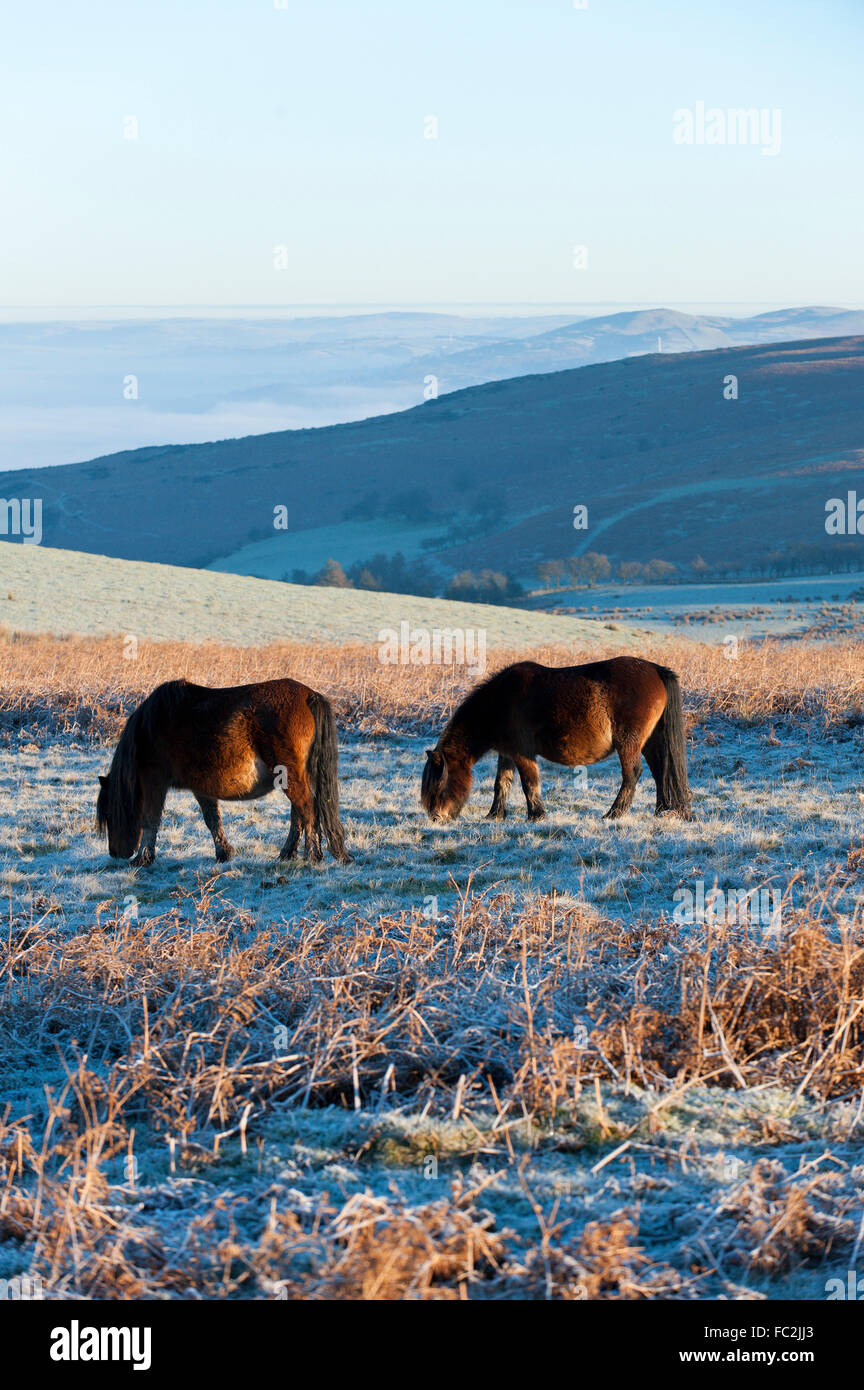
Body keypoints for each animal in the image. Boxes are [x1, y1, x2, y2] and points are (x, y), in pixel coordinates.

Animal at [94, 678, 352, 861]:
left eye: (109, 812)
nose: (116, 853)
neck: (149, 728)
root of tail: (309, 695)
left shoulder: (154, 782)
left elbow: (151, 819)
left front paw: (143, 859)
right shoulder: (200, 788)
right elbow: (212, 820)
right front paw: (223, 853)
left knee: (307, 810)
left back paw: (312, 856)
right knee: (298, 813)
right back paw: (287, 854)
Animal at [422, 653, 694, 817]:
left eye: (439, 783)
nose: (436, 817)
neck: (499, 701)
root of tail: (655, 669)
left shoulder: (522, 752)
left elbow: (529, 782)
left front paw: (536, 815)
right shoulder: (507, 752)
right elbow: (502, 783)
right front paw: (495, 815)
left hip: (628, 743)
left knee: (633, 775)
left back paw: (614, 814)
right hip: (649, 742)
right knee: (659, 771)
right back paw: (660, 811)